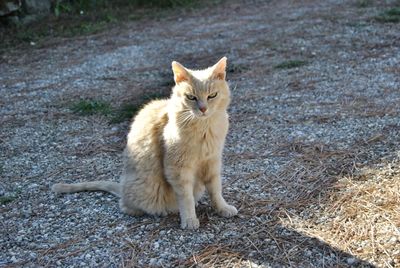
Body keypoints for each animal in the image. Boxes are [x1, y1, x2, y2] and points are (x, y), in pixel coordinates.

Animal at [51, 56, 236, 228]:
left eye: (212, 95)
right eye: (191, 97)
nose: (203, 109)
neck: (204, 128)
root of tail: (122, 187)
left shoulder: (212, 162)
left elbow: (215, 190)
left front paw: (222, 208)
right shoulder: (177, 169)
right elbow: (186, 197)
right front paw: (190, 219)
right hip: (145, 192)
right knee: (126, 205)